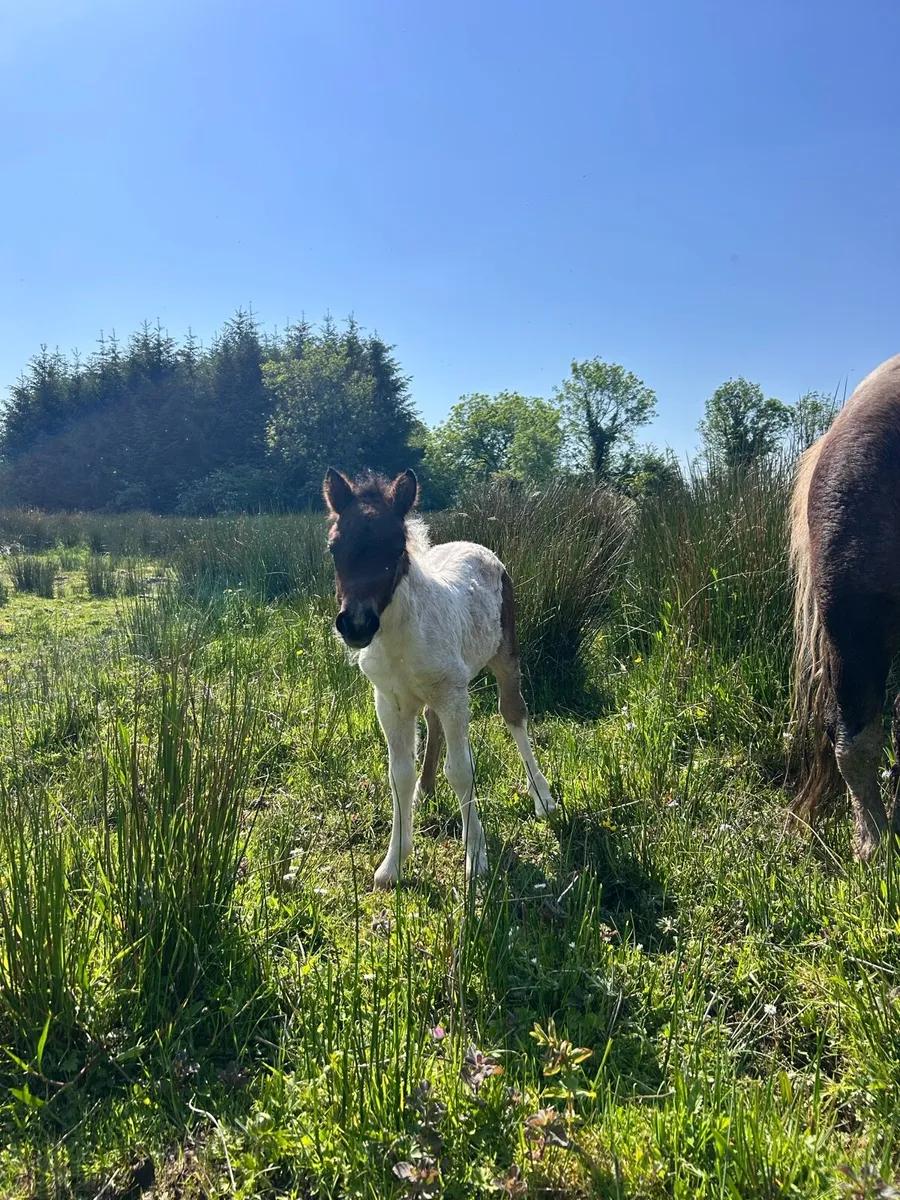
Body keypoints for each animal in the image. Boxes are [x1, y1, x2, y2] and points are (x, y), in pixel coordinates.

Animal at [322, 466, 556, 888]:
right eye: (334, 547)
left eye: (396, 548)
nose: (357, 625)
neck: (400, 639)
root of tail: (474, 545)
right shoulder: (389, 702)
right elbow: (397, 775)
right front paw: (393, 863)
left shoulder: (454, 693)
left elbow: (462, 770)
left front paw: (475, 857)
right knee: (431, 723)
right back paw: (425, 790)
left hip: (504, 655)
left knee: (514, 714)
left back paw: (542, 797)